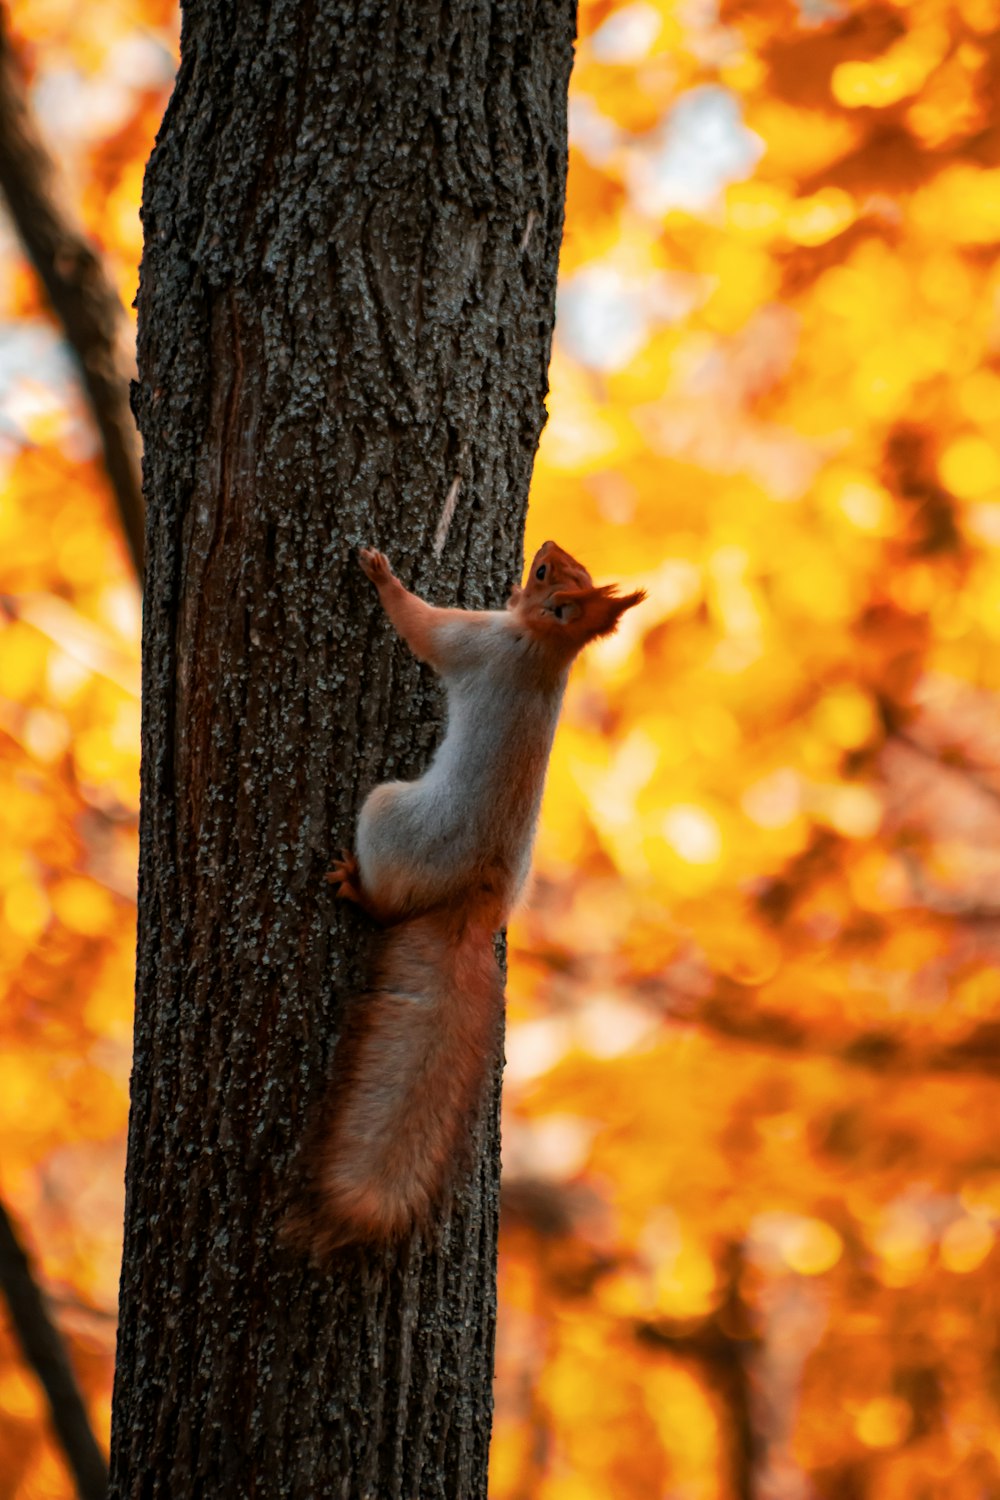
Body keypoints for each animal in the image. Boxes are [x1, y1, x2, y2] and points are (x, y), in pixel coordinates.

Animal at [289, 540, 644, 1254]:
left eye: (545, 575)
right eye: (565, 569)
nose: (545, 545)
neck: (546, 649)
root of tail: (472, 905)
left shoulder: (476, 641)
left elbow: (422, 628)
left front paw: (383, 575)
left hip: (390, 813)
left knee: (386, 898)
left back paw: (355, 887)